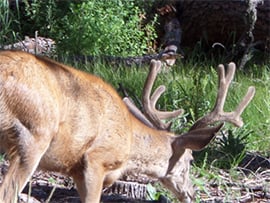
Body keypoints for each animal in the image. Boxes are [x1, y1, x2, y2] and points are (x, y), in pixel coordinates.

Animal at [0, 49, 255, 203]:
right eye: (190, 160)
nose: (191, 193)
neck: (130, 141)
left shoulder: (76, 169)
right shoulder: (94, 160)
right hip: (34, 134)